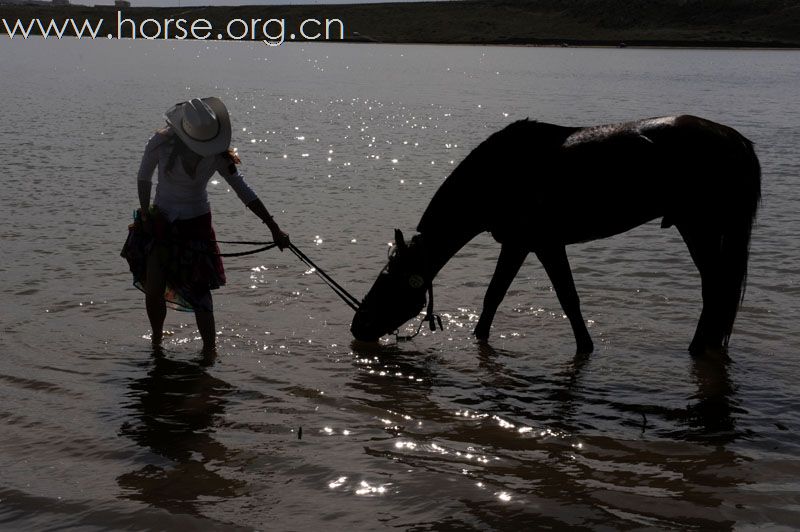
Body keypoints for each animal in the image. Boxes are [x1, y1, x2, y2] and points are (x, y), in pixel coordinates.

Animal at [352, 117, 764, 358]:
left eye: (388, 282)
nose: (358, 326)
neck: (496, 175)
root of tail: (736, 140)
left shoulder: (543, 244)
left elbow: (567, 299)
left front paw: (585, 346)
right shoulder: (519, 244)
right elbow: (493, 298)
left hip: (699, 227)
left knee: (715, 290)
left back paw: (696, 348)